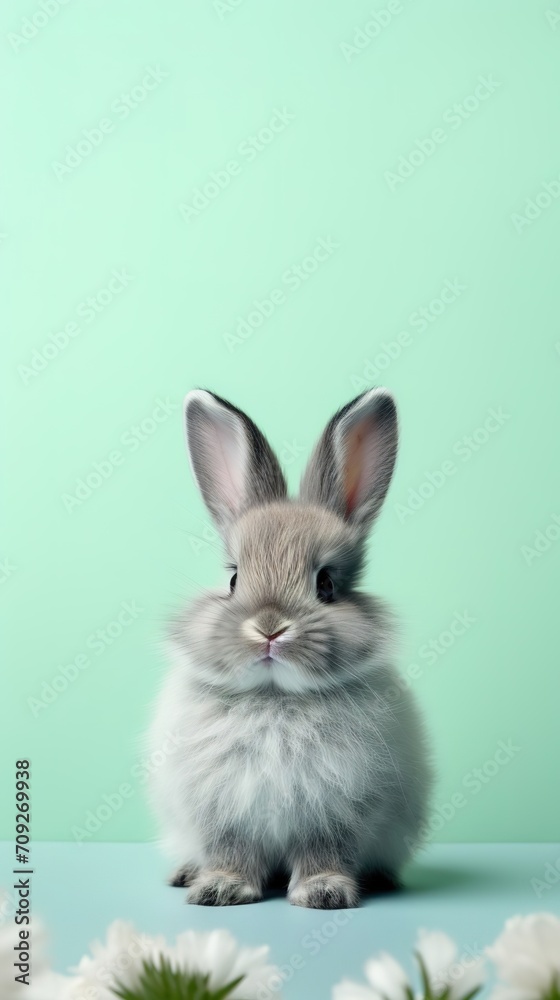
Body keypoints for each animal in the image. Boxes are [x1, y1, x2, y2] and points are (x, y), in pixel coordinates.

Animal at [148, 387, 432, 909]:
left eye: (326, 584)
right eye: (233, 579)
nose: (269, 628)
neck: (275, 695)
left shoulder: (336, 813)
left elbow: (325, 851)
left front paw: (324, 893)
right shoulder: (225, 814)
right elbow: (232, 851)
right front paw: (221, 889)